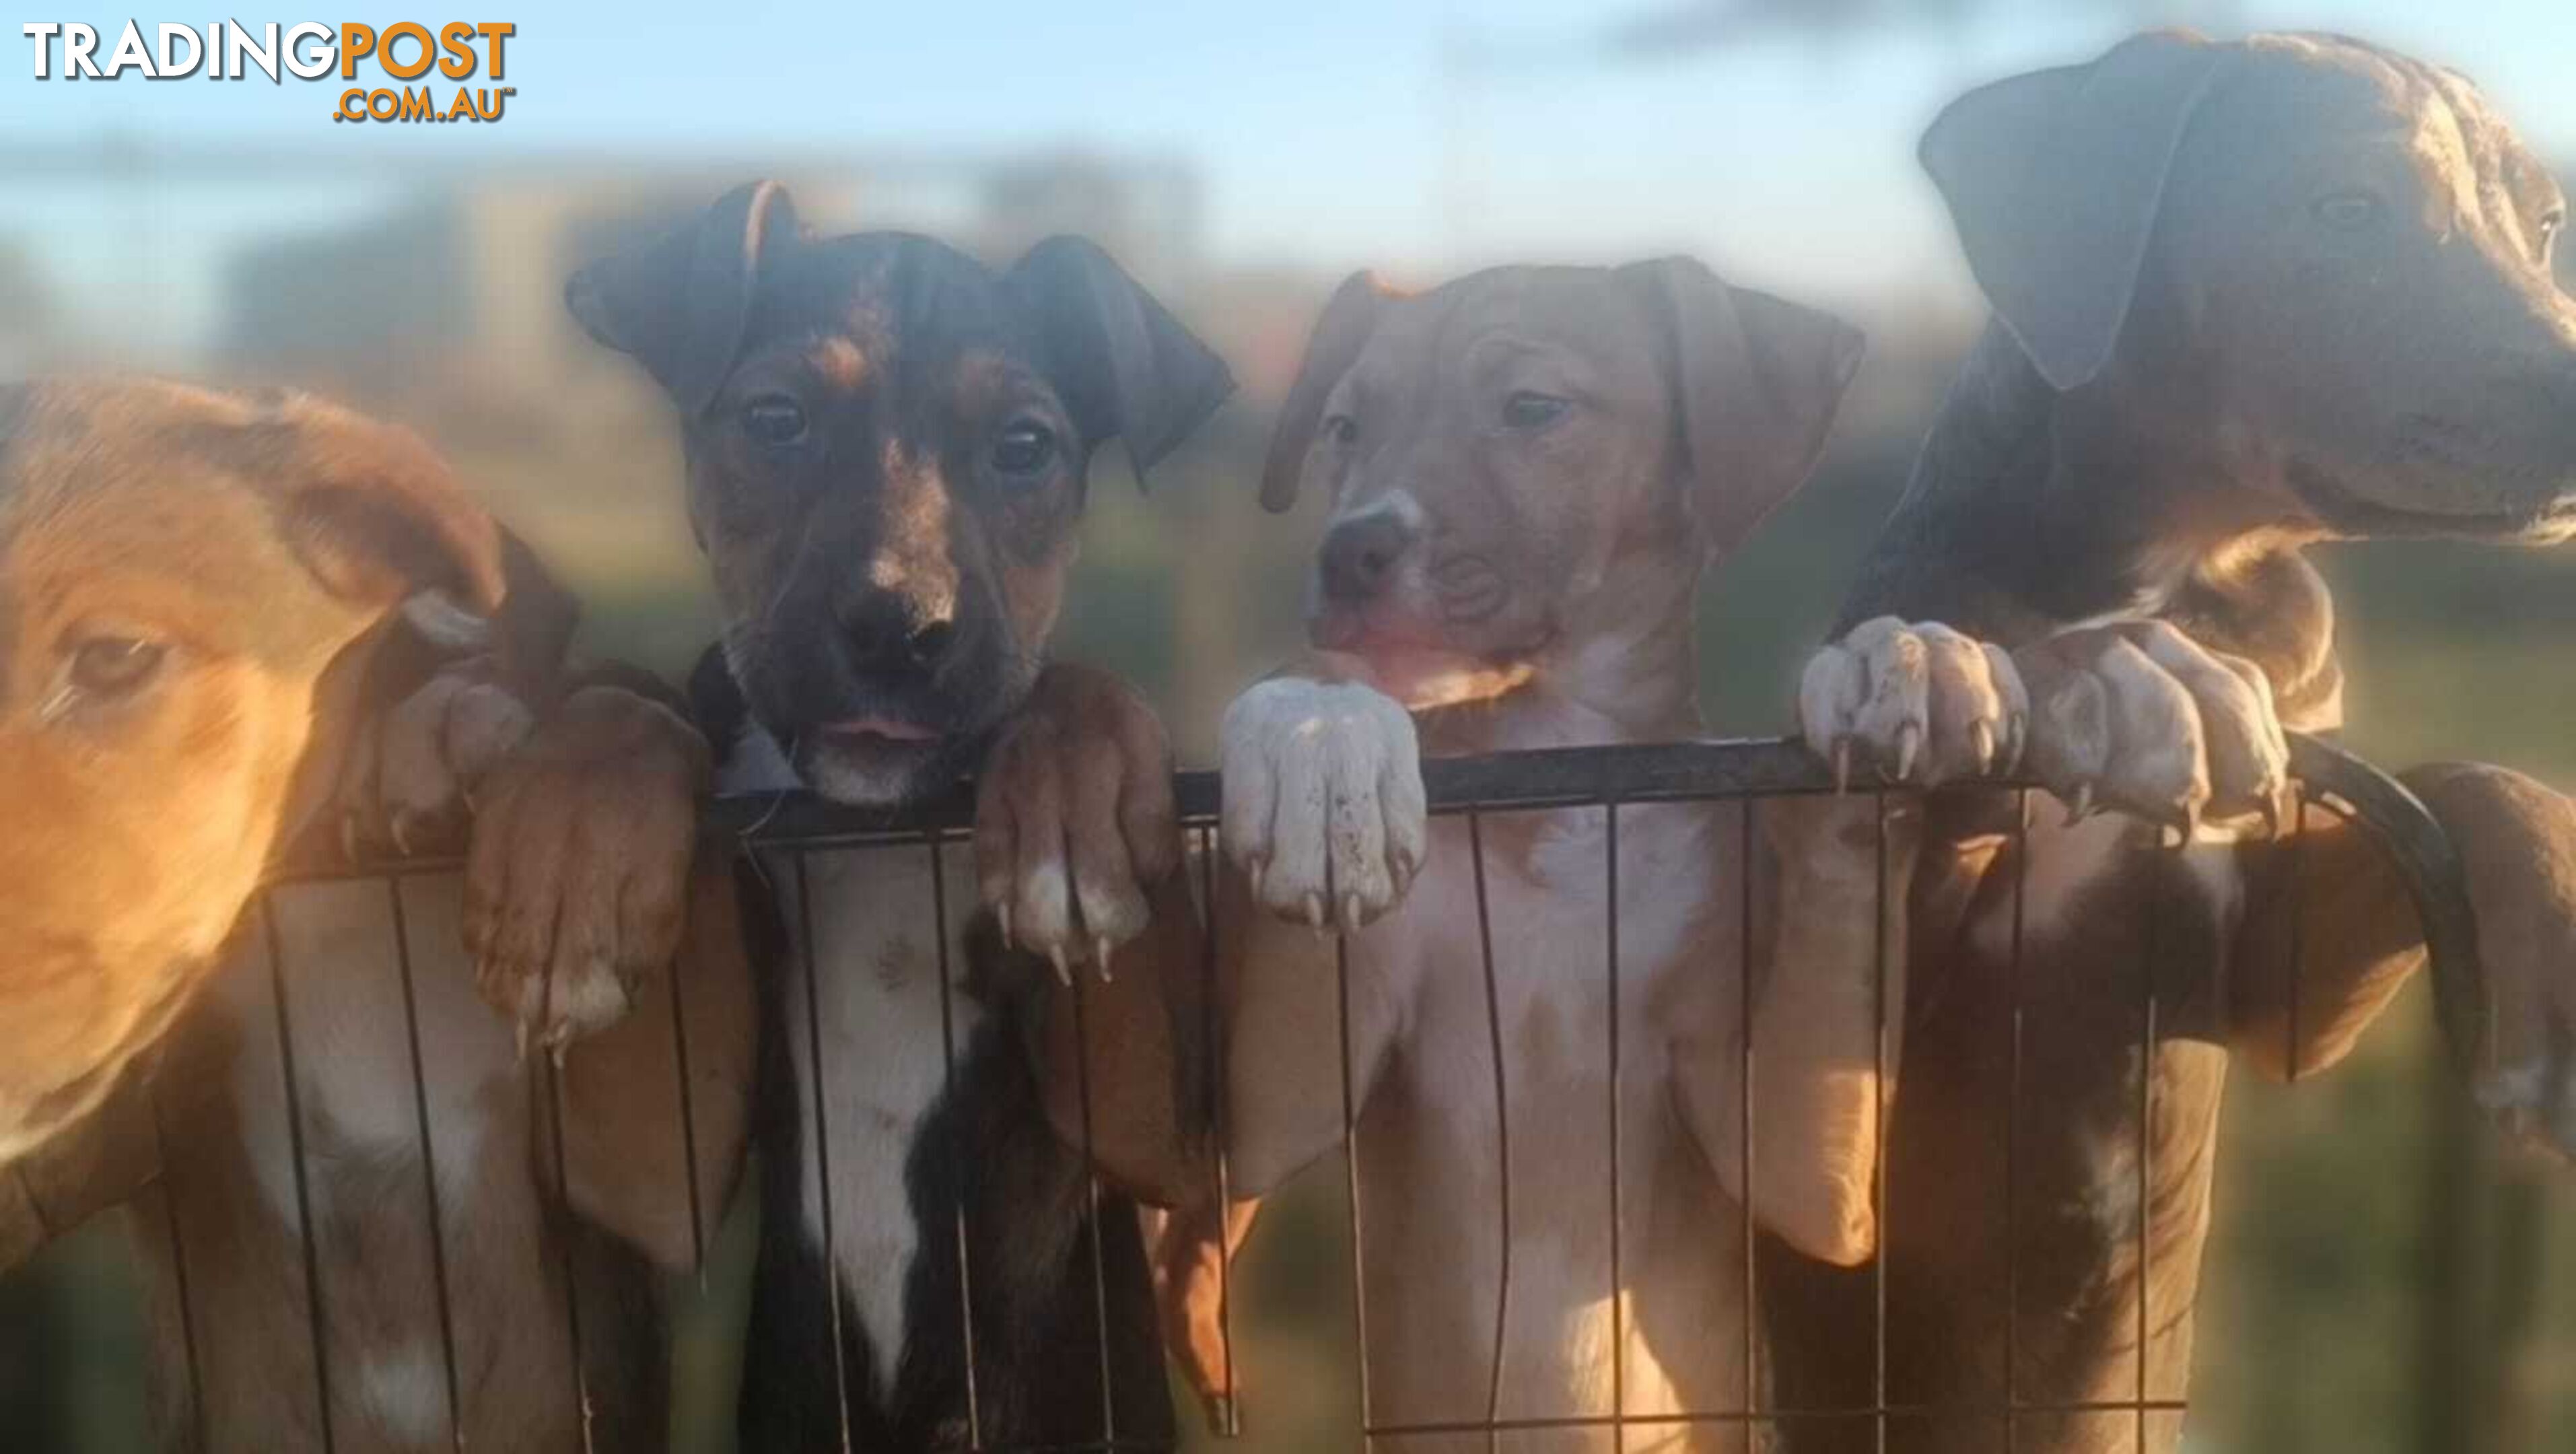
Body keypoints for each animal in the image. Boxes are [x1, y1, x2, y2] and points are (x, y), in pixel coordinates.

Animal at [561, 184, 1236, 1454]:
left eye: (1024, 448)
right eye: (776, 419)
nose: (898, 626)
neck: (875, 830)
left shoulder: (1148, 1129)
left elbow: (1062, 695)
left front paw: (1067, 794)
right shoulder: (670, 1142)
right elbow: (647, 707)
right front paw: (591, 811)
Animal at [1154, 264, 2009, 1454]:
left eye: (1531, 408)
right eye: (1342, 428)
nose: (1346, 550)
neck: (1551, 781)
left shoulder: (1808, 1176)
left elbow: (1836, 848)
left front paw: (1900, 657)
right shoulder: (1271, 1109)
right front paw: (1319, 737)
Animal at [1772, 34, 2576, 1454]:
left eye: (2542, 227)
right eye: (2345, 208)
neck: (2186, 570)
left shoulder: (2267, 985)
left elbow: (2464, 785)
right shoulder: (1851, 1109)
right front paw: (1961, 663)